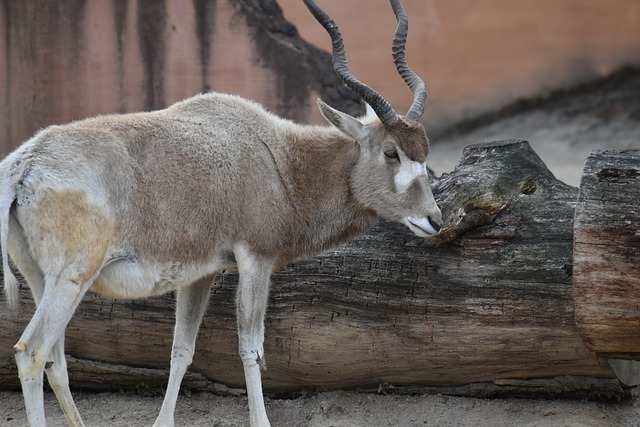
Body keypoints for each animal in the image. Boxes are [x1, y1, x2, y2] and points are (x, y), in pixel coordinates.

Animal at [0, 0, 440, 427]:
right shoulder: (256, 259)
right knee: (32, 351)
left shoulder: (201, 273)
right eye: (391, 152)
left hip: (43, 279)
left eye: (425, 150)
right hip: (71, 278)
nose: (434, 219)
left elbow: (181, 350)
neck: (280, 160)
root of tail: (26, 162)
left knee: (55, 359)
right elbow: (251, 348)